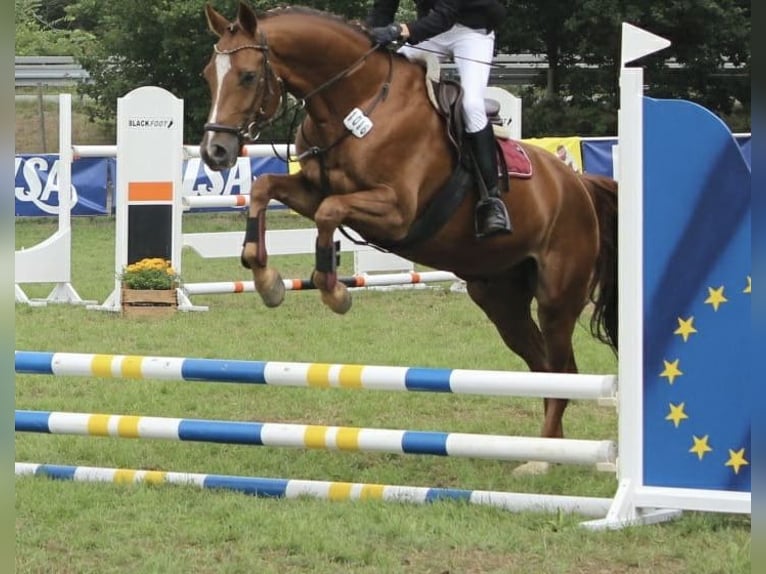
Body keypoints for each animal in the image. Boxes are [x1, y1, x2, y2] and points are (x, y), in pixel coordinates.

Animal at [198, 1, 616, 476]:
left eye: (249, 75)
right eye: (209, 74)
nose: (215, 152)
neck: (357, 101)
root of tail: (579, 185)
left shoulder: (395, 212)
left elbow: (328, 213)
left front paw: (333, 291)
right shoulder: (312, 188)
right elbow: (265, 189)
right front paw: (266, 280)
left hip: (556, 298)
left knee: (563, 366)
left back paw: (544, 459)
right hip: (499, 297)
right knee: (544, 365)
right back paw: (549, 452)